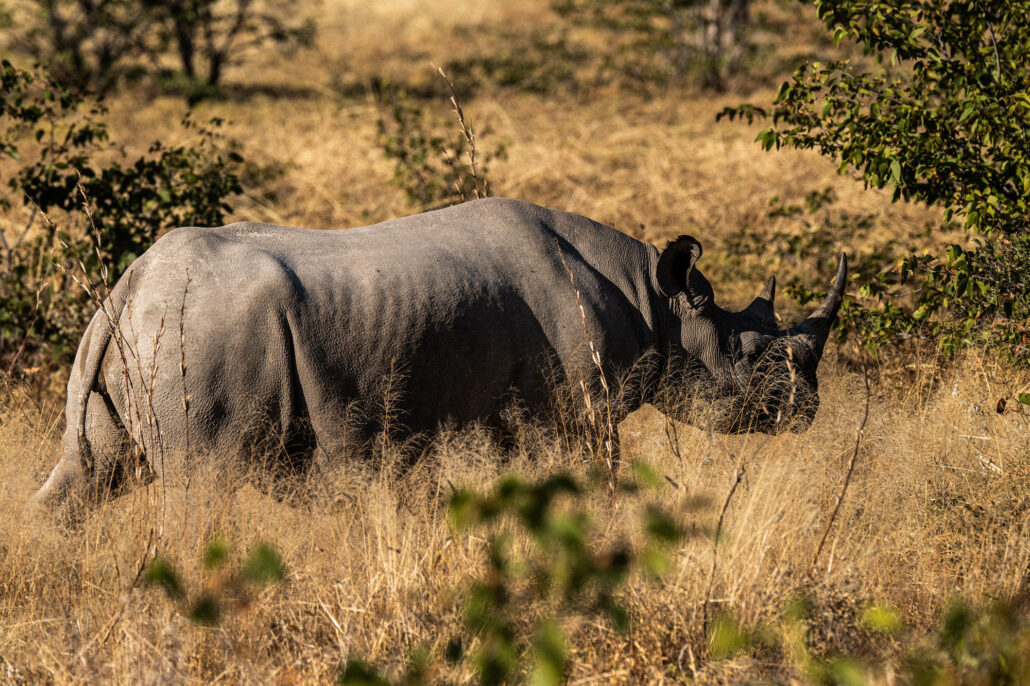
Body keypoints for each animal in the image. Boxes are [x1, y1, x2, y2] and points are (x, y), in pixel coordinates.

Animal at [33, 198, 846, 510]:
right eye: (755, 354)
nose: (808, 409)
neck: (654, 297)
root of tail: (128, 288)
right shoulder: (577, 412)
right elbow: (596, 482)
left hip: (145, 339)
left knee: (84, 476)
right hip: (203, 334)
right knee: (204, 490)